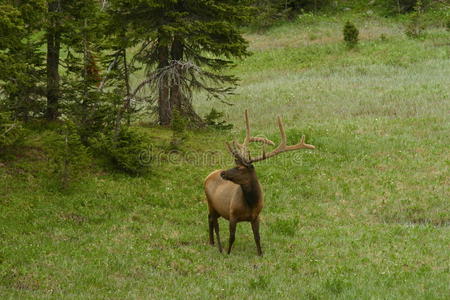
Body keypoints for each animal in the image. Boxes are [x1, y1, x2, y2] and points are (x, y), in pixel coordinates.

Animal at [203, 110, 312, 255]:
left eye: (240, 168)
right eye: (236, 164)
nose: (223, 173)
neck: (251, 203)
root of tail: (207, 176)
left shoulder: (256, 216)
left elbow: (257, 237)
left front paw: (260, 254)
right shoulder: (232, 214)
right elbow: (232, 237)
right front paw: (228, 252)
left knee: (210, 219)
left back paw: (212, 242)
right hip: (211, 203)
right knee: (213, 222)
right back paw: (217, 246)